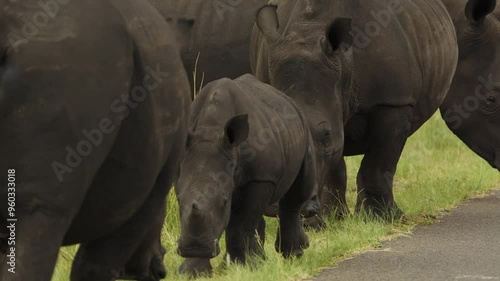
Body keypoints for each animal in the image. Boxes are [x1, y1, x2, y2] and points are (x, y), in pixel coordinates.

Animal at [176, 73, 316, 274]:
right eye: (179, 200)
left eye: (224, 202)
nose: (195, 248)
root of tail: (288, 99)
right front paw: (192, 272)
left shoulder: (261, 178)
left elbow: (241, 223)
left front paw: (242, 267)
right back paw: (260, 260)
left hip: (303, 129)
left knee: (295, 196)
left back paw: (293, 254)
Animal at [252, 0, 458, 219]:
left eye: (326, 135)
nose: (275, 205)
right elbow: (335, 163)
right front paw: (330, 219)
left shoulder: (394, 101)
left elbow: (378, 162)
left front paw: (382, 217)